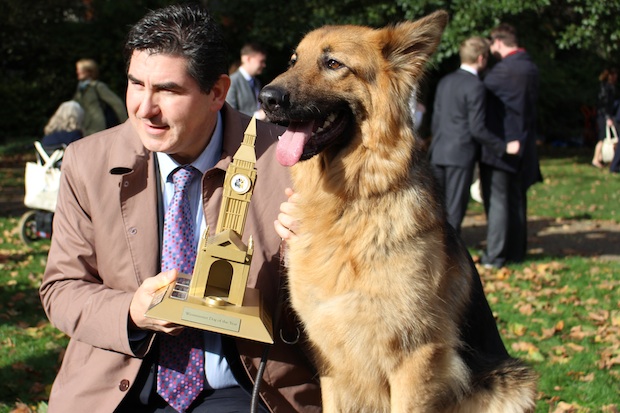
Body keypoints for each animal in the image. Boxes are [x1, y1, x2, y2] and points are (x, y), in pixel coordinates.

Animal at [259, 10, 537, 413]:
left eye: (333, 64)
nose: (266, 98)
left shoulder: (416, 360)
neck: (352, 202)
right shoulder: (331, 361)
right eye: (294, 60)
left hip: (515, 385)